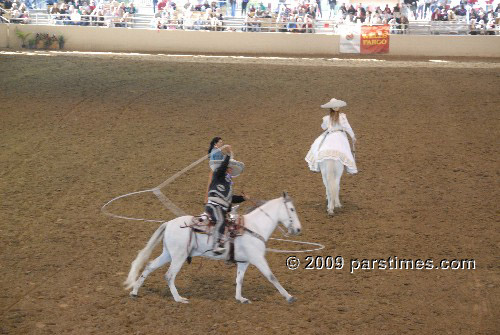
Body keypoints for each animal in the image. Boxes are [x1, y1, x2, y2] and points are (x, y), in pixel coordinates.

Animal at [124, 192, 304, 304]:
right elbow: (272, 277)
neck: (254, 227)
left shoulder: (244, 262)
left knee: (149, 266)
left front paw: (240, 298)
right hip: (179, 257)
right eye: (292, 209)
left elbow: (239, 279)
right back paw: (179, 299)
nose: (298, 229)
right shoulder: (258, 259)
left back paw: (134, 291)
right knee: (169, 276)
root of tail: (169, 223)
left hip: (168, 254)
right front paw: (289, 297)